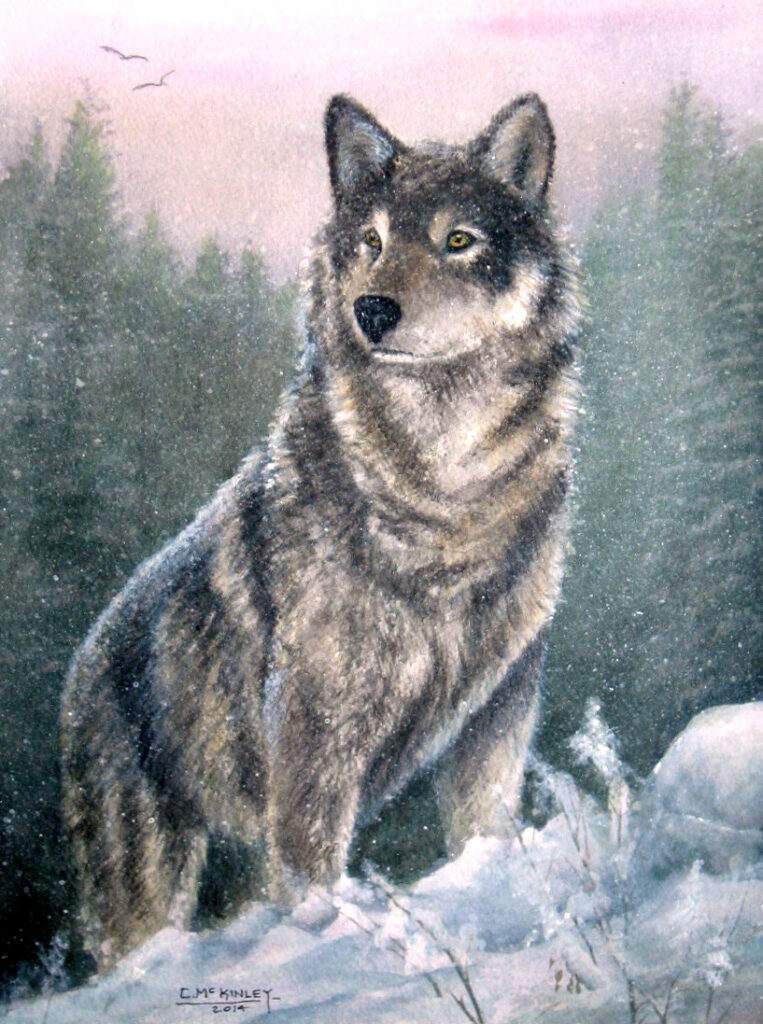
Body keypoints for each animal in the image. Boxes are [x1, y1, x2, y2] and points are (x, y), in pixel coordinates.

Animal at [61, 92, 580, 969]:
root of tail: (83, 660)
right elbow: (314, 870)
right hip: (147, 886)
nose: (372, 309)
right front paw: (332, 941)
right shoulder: (314, 731)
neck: (444, 493)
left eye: (458, 241)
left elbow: (485, 831)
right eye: (370, 243)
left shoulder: (498, 708)